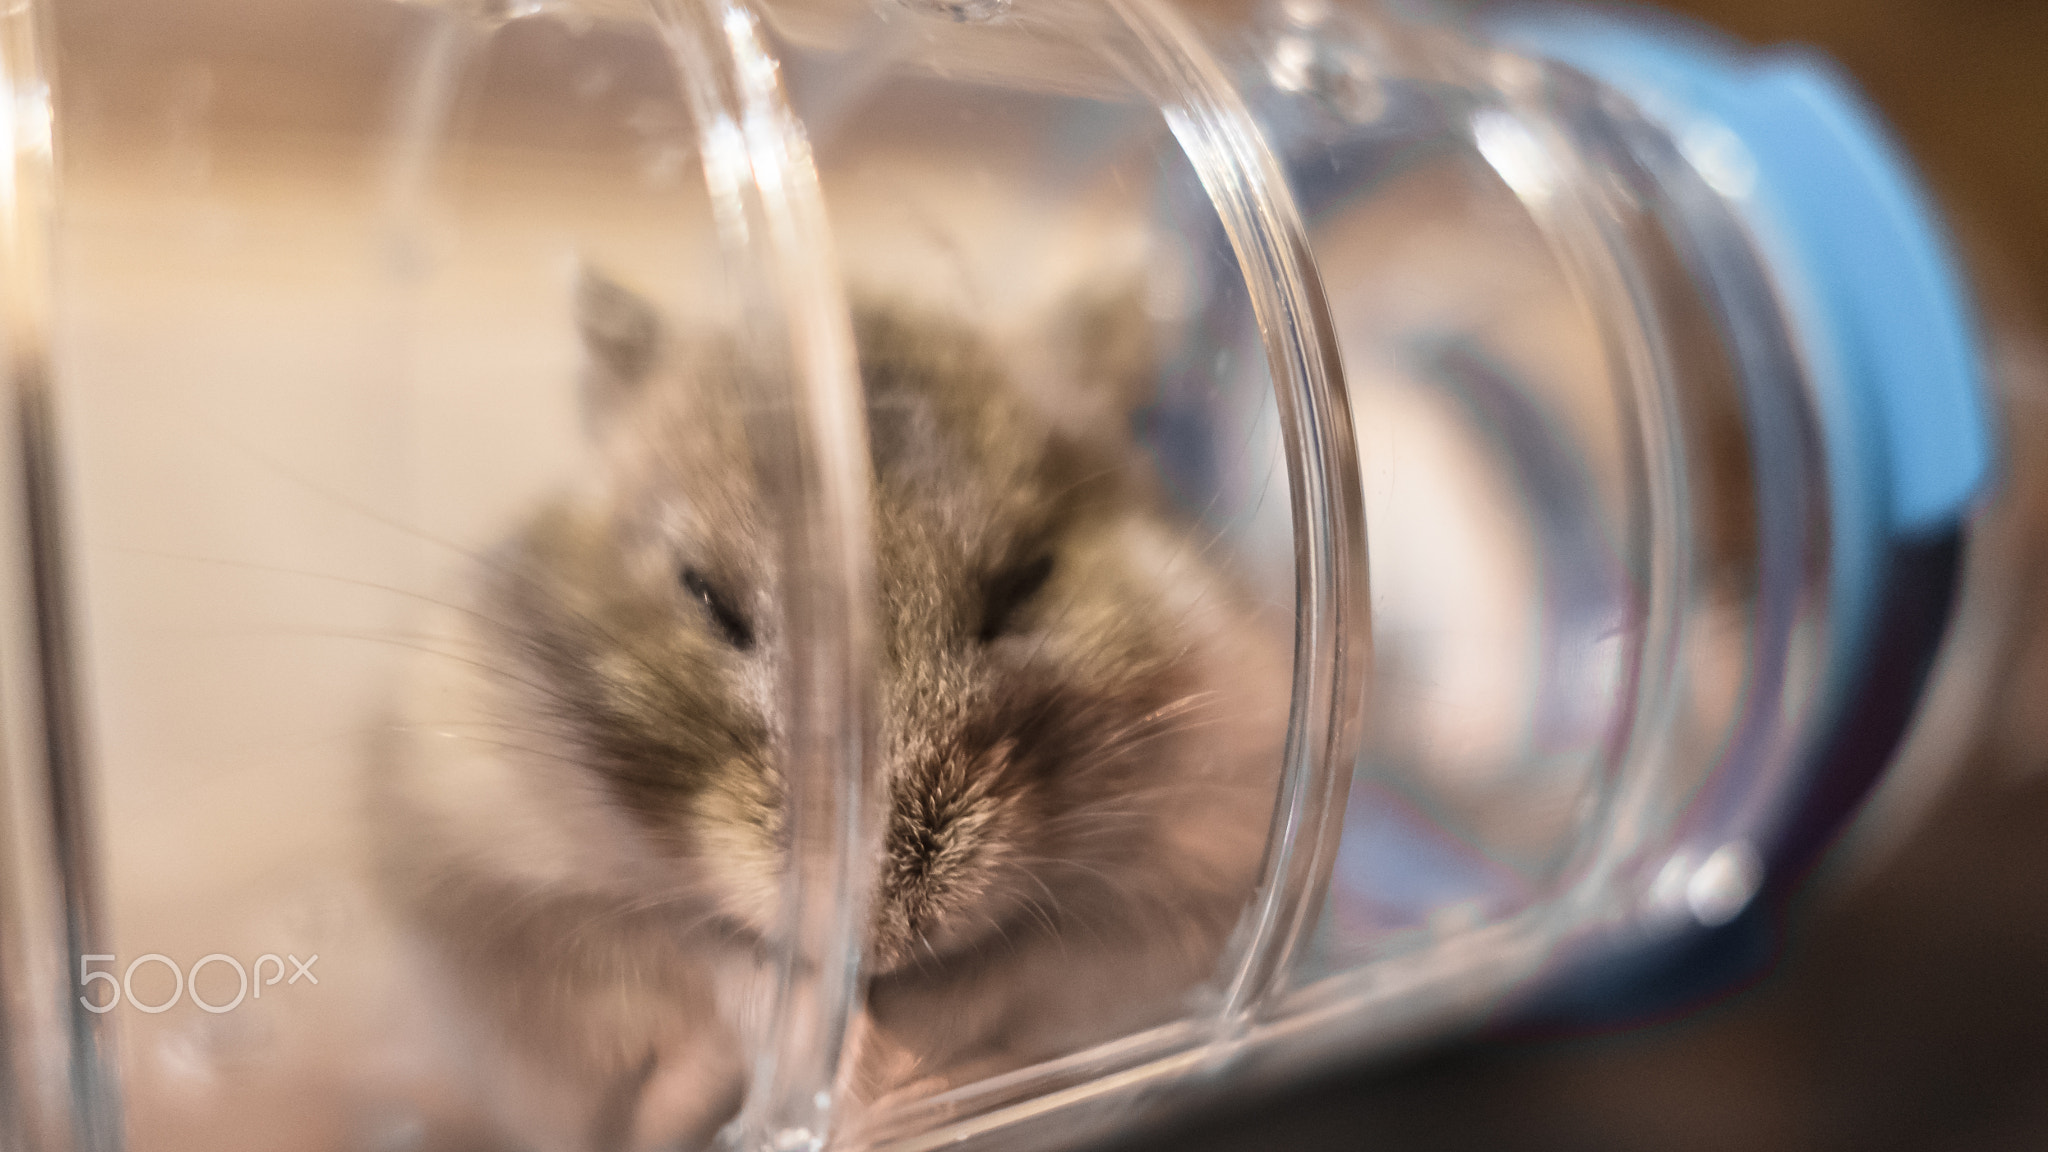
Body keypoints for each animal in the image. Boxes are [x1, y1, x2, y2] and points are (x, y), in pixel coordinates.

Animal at [372, 270, 1291, 1151]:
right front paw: (826, 1081)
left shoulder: (1195, 895)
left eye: (1028, 583)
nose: (883, 940)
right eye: (707, 597)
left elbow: (1010, 974)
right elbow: (703, 964)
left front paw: (894, 1090)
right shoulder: (488, 888)